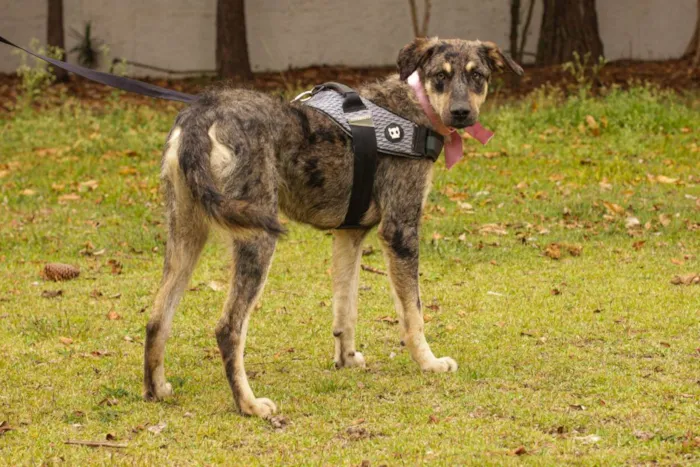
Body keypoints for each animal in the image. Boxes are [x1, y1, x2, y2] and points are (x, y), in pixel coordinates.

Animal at [145, 37, 524, 420]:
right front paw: (429, 363)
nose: (461, 112)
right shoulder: (400, 231)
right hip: (257, 237)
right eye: (440, 77)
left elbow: (346, 307)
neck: (414, 105)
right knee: (228, 329)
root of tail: (202, 113)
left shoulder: (349, 234)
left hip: (187, 236)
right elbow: (413, 313)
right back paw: (249, 405)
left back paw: (155, 390)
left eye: (477, 76)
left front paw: (347, 359)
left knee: (157, 317)